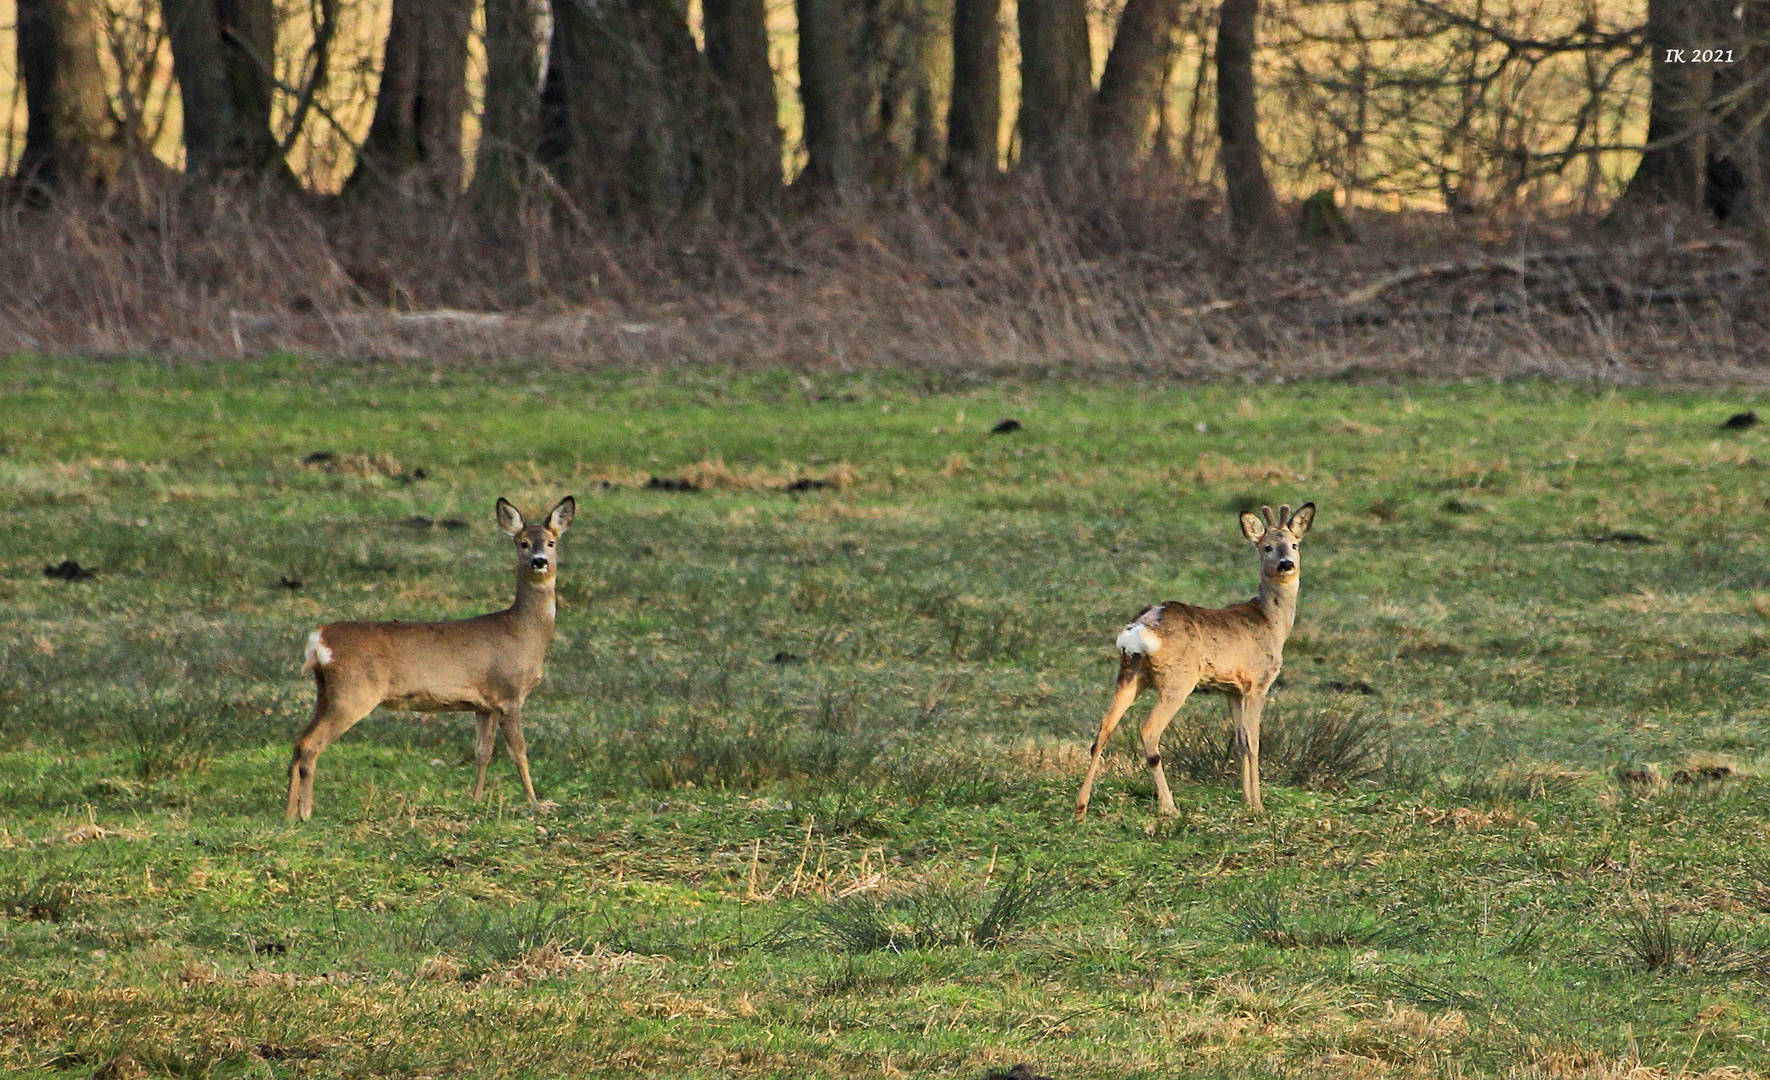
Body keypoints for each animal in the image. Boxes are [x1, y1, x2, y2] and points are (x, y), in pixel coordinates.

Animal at [283, 495, 573, 814]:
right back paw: (305, 813)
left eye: (551, 542)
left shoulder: (485, 704)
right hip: (354, 691)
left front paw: (475, 799)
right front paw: (535, 802)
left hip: (325, 691)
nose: (539, 561)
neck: (523, 632)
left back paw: (289, 814)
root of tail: (319, 638)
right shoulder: (509, 693)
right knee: (311, 744)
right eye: (523, 543)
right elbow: (519, 752)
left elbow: (482, 752)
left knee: (298, 741)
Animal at [1069, 499, 1309, 810]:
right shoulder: (1258, 682)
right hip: (1178, 679)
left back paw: (1081, 806)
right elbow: (1255, 743)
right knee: (1148, 731)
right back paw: (1169, 807)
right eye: (1267, 546)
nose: (1286, 564)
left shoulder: (1232, 689)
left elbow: (1241, 741)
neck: (1272, 622)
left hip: (1129, 672)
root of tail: (1142, 626)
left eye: (1294, 544)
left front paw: (1245, 799)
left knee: (1103, 730)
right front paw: (1258, 805)